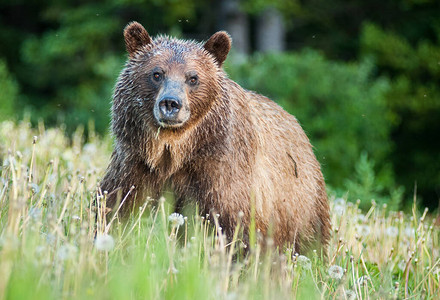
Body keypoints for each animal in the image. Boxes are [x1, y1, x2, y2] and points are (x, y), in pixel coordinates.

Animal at [100, 20, 330, 253]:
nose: (171, 103)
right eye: (157, 74)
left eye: (193, 78)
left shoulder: (220, 172)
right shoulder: (135, 165)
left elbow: (232, 227)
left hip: (300, 204)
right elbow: (118, 208)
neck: (174, 150)